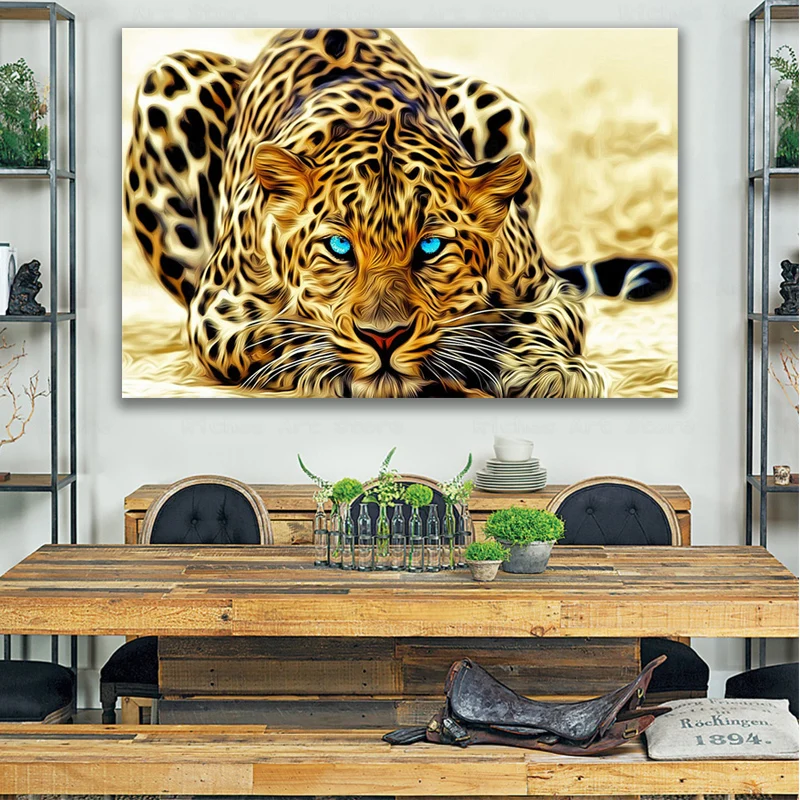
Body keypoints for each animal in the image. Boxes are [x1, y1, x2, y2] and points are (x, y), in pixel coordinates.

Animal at [124, 27, 612, 398]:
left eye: (431, 247)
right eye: (339, 246)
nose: (384, 337)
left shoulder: (548, 291)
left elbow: (541, 324)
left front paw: (552, 372)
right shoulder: (218, 311)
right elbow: (282, 335)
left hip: (494, 100)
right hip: (168, 79)